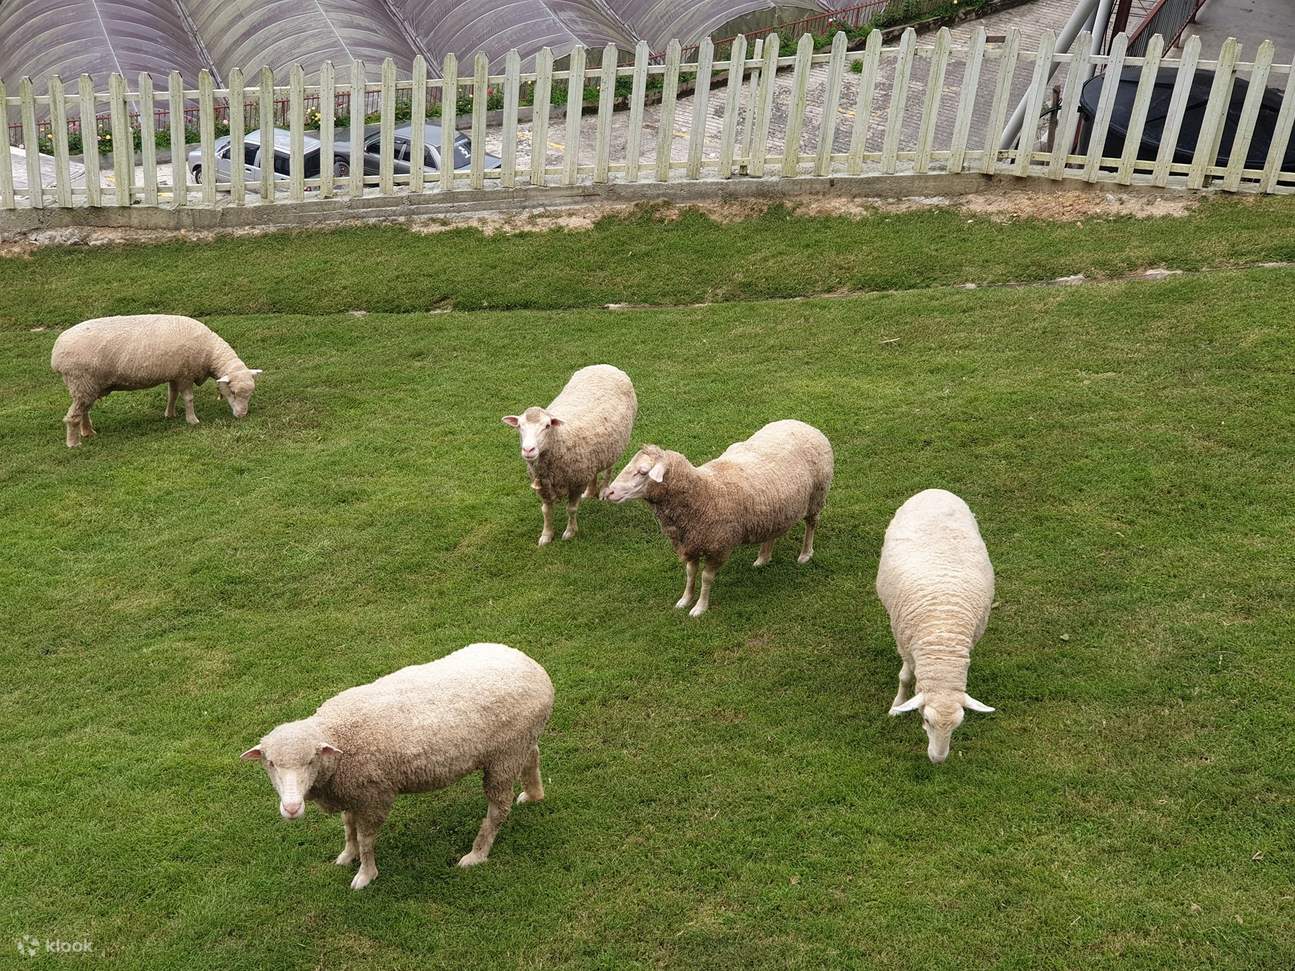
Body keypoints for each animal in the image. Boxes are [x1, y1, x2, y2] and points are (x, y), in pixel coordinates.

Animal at [50, 314, 261, 447]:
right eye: (232, 392)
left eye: (250, 394)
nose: (242, 415)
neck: (209, 353)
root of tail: (55, 354)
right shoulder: (185, 374)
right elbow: (188, 398)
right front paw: (193, 420)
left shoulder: (175, 373)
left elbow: (172, 395)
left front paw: (170, 414)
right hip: (81, 382)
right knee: (73, 415)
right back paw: (73, 443)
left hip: (87, 386)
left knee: (84, 410)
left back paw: (88, 432)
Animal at [240, 643, 554, 890]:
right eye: (271, 763)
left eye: (310, 760)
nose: (292, 808)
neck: (338, 736)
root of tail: (537, 670)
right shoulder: (352, 791)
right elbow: (348, 827)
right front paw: (347, 855)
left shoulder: (374, 796)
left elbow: (366, 838)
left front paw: (365, 874)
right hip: (520, 741)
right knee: (533, 757)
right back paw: (534, 794)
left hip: (504, 756)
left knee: (498, 807)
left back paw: (476, 854)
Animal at [503, 364, 637, 546]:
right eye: (519, 426)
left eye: (547, 426)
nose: (528, 450)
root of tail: (606, 366)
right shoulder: (543, 486)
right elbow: (546, 510)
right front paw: (546, 535)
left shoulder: (576, 482)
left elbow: (571, 509)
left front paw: (570, 532)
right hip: (593, 456)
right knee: (594, 472)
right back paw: (589, 492)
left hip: (614, 446)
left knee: (609, 469)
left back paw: (603, 490)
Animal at [602, 419, 833, 617]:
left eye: (642, 472)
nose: (609, 492)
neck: (703, 492)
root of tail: (803, 424)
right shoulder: (692, 542)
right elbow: (690, 573)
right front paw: (685, 600)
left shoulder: (719, 546)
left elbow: (706, 578)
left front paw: (699, 607)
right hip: (776, 509)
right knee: (773, 532)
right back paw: (763, 557)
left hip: (817, 495)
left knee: (811, 524)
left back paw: (805, 554)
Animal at [876, 488, 996, 764]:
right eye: (926, 720)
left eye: (958, 725)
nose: (938, 759)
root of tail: (936, 490)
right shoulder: (905, 643)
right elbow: (905, 677)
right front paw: (896, 706)